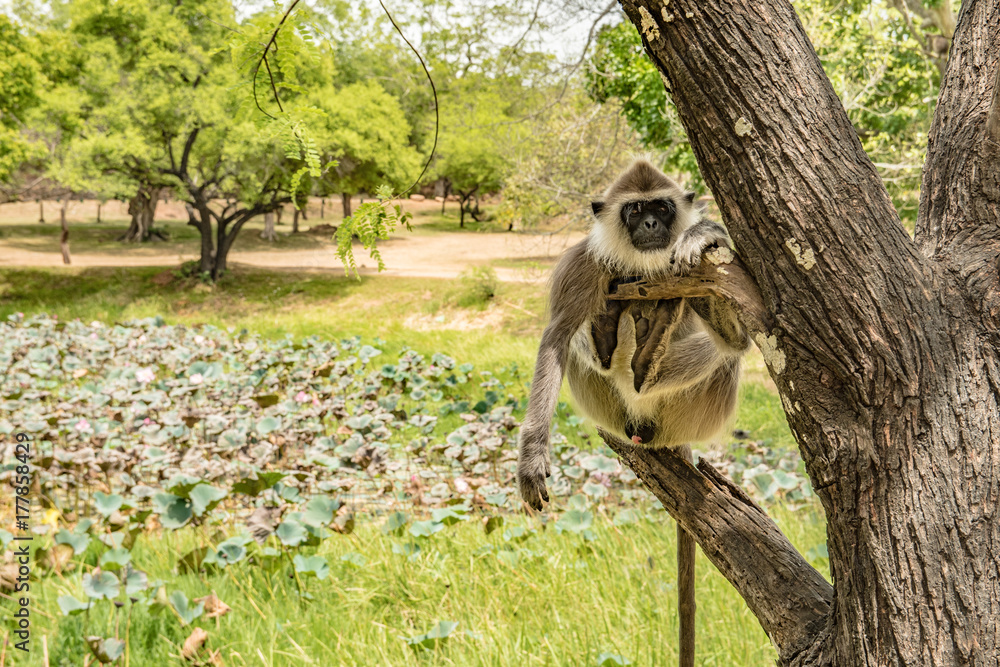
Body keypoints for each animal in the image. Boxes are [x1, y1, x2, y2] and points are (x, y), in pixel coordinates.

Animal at [517, 157, 750, 508]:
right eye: (636, 209)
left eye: (661, 208)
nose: (651, 223)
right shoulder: (583, 262)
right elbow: (556, 338)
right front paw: (532, 454)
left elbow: (741, 340)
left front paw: (707, 233)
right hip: (609, 412)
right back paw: (610, 333)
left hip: (686, 419)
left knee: (727, 353)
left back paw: (648, 353)